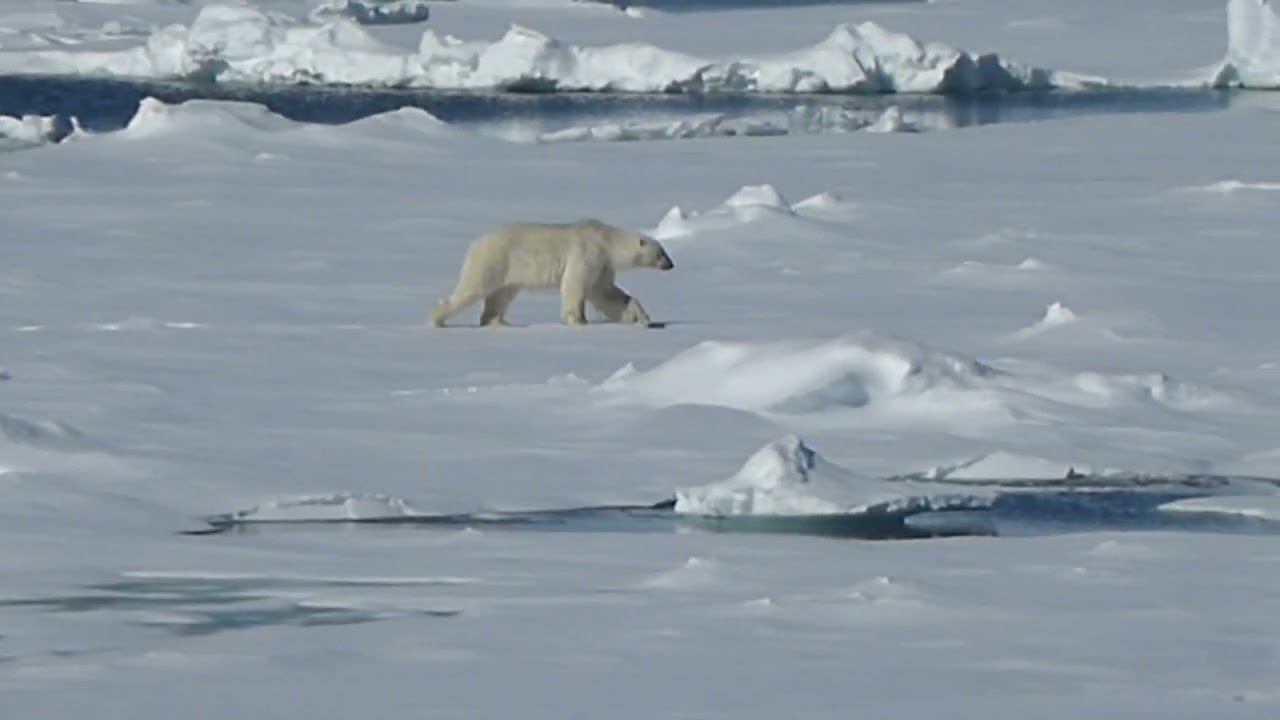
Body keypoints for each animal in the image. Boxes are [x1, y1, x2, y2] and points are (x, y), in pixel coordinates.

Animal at [429, 218, 675, 328]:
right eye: (661, 252)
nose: (671, 265)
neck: (606, 240)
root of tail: (475, 243)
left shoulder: (603, 264)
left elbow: (605, 293)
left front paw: (640, 316)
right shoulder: (587, 253)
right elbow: (575, 285)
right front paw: (578, 319)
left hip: (509, 271)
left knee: (501, 295)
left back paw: (498, 322)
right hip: (493, 260)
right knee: (472, 288)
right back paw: (437, 318)